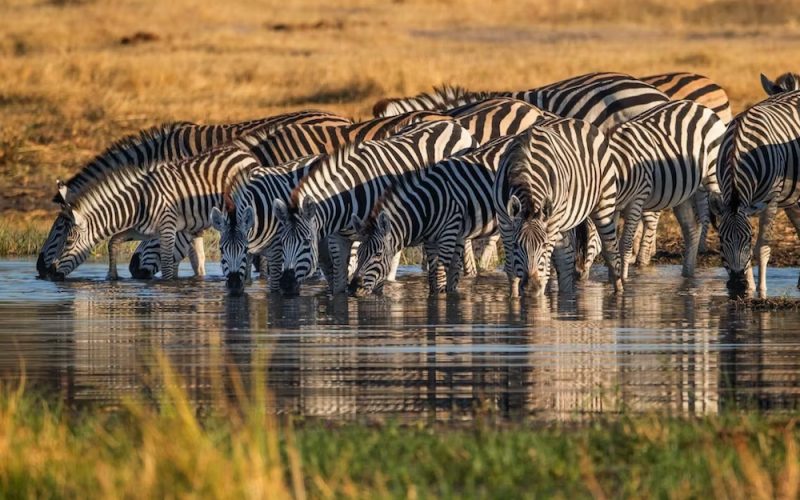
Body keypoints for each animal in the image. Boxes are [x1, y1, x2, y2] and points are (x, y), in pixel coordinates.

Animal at [48, 143, 262, 280]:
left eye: (68, 241)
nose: (52, 274)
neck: (137, 204)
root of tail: (244, 152)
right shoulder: (143, 230)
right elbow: (113, 241)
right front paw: (113, 277)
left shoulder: (167, 228)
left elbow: (166, 265)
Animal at [273, 120, 479, 295]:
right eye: (282, 242)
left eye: (307, 242)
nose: (286, 284)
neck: (346, 199)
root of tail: (453, 124)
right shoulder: (338, 239)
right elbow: (339, 287)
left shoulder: (368, 237)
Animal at [493, 117, 622, 297]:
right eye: (516, 245)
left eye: (543, 245)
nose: (531, 287)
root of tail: (577, 120)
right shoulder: (504, 220)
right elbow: (512, 271)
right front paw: (514, 298)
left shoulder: (550, 224)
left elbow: (545, 271)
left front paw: (539, 300)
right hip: (561, 222)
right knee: (565, 260)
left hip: (603, 203)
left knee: (611, 252)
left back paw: (619, 293)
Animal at [710, 90, 800, 297]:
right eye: (721, 240)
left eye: (749, 239)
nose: (737, 284)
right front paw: (749, 289)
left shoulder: (771, 200)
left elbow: (762, 249)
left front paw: (761, 291)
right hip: (792, 197)